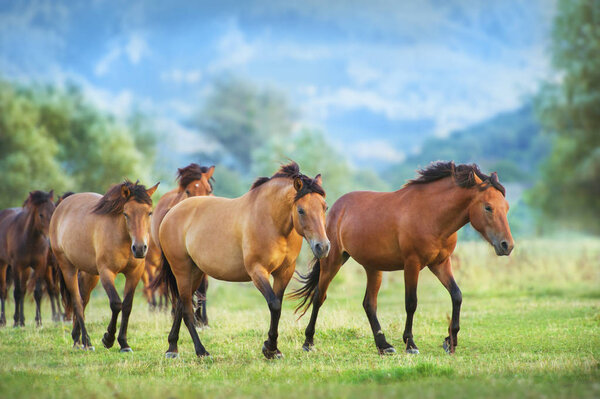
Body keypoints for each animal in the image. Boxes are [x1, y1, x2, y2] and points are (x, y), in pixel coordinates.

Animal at [0, 191, 55, 328]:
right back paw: (4, 321)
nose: (50, 241)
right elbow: (16, 293)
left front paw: (38, 321)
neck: (30, 240)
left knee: (23, 291)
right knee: (3, 290)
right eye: (41, 214)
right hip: (3, 264)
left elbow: (37, 293)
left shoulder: (40, 266)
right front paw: (15, 321)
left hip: (26, 270)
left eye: (54, 211)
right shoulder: (16, 266)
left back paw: (23, 320)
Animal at [50, 181, 157, 354]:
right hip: (68, 268)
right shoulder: (107, 272)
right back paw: (86, 342)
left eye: (149, 213)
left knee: (84, 300)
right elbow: (116, 304)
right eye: (126, 214)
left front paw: (124, 343)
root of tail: (61, 207)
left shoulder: (134, 274)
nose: (140, 248)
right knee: (77, 302)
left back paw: (77, 339)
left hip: (90, 274)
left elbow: (127, 306)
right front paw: (108, 339)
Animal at [155, 162, 330, 360]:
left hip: (196, 272)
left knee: (180, 304)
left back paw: (172, 348)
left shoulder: (284, 273)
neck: (270, 220)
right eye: (301, 210)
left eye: (325, 207)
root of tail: (171, 213)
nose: (323, 246)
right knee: (186, 309)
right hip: (182, 270)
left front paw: (273, 349)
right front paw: (270, 348)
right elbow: (274, 305)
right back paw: (201, 351)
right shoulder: (257, 271)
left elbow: (277, 306)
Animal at [292, 162, 516, 356]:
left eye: (506, 207)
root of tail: (335, 207)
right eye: (488, 207)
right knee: (319, 296)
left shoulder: (441, 264)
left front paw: (450, 341)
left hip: (373, 268)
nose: (507, 245)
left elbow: (457, 295)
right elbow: (411, 303)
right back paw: (308, 342)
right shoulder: (412, 264)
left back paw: (384, 346)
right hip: (333, 260)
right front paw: (411, 344)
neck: (431, 213)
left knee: (369, 304)